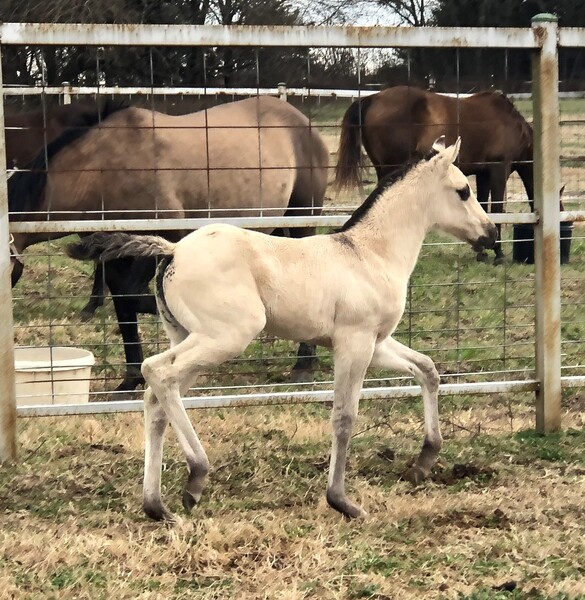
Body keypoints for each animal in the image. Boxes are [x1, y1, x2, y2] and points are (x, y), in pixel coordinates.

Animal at [8, 98, 328, 394]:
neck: (104, 171)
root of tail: (302, 120)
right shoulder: (115, 256)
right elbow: (124, 303)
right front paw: (131, 379)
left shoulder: (163, 240)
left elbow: (134, 298)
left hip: (302, 218)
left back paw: (303, 364)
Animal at [65, 138, 498, 524]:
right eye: (463, 191)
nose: (490, 232)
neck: (369, 254)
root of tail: (172, 252)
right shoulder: (353, 343)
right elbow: (344, 418)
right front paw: (342, 502)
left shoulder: (376, 344)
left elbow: (427, 370)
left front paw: (425, 460)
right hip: (226, 338)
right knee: (156, 371)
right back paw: (196, 476)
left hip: (189, 339)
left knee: (157, 397)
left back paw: (158, 506)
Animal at [334, 85, 532, 262]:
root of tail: (371, 98)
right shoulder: (499, 168)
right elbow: (498, 207)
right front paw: (498, 253)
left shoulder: (483, 174)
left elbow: (484, 203)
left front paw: (482, 254)